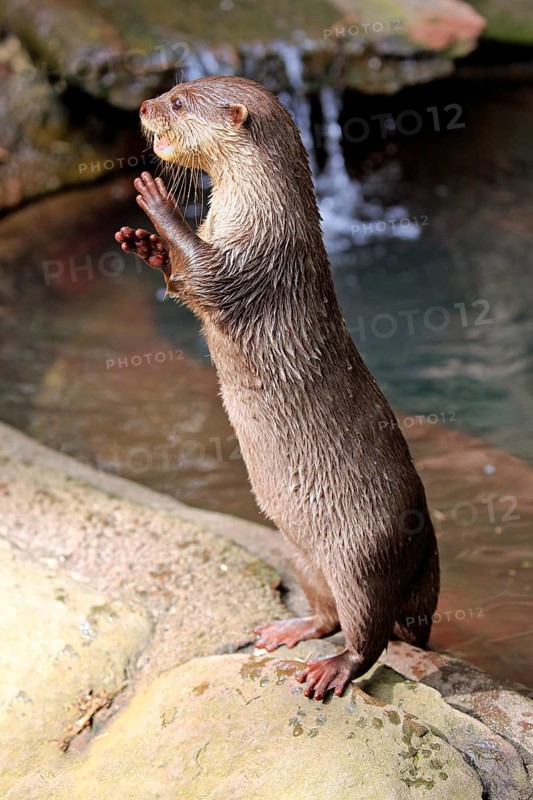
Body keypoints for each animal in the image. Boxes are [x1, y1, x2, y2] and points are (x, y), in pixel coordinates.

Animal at [115, 76, 439, 701]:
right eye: (172, 86)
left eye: (180, 102)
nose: (143, 106)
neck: (259, 211)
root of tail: (424, 555)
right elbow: (183, 283)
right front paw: (147, 245)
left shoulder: (256, 258)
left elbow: (207, 276)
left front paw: (160, 206)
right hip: (301, 549)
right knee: (327, 611)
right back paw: (291, 630)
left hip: (363, 552)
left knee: (369, 633)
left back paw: (332, 669)